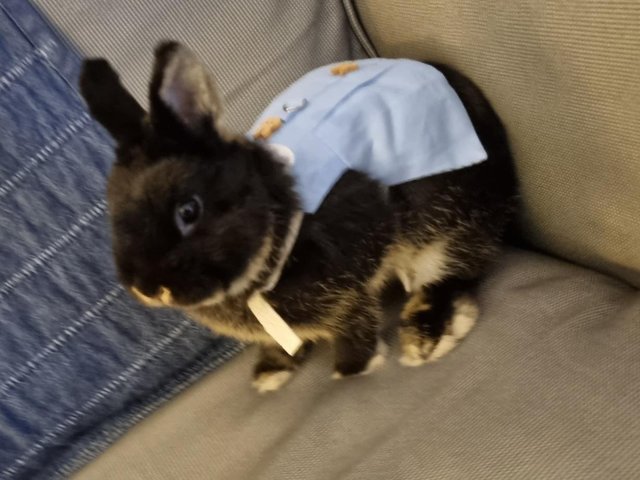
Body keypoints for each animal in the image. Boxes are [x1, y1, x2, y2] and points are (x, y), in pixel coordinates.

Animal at [80, 42, 520, 394]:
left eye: (188, 211)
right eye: (113, 217)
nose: (148, 288)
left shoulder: (353, 269)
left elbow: (351, 317)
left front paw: (353, 367)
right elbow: (278, 341)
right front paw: (270, 373)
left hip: (443, 225)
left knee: (456, 271)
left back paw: (425, 336)